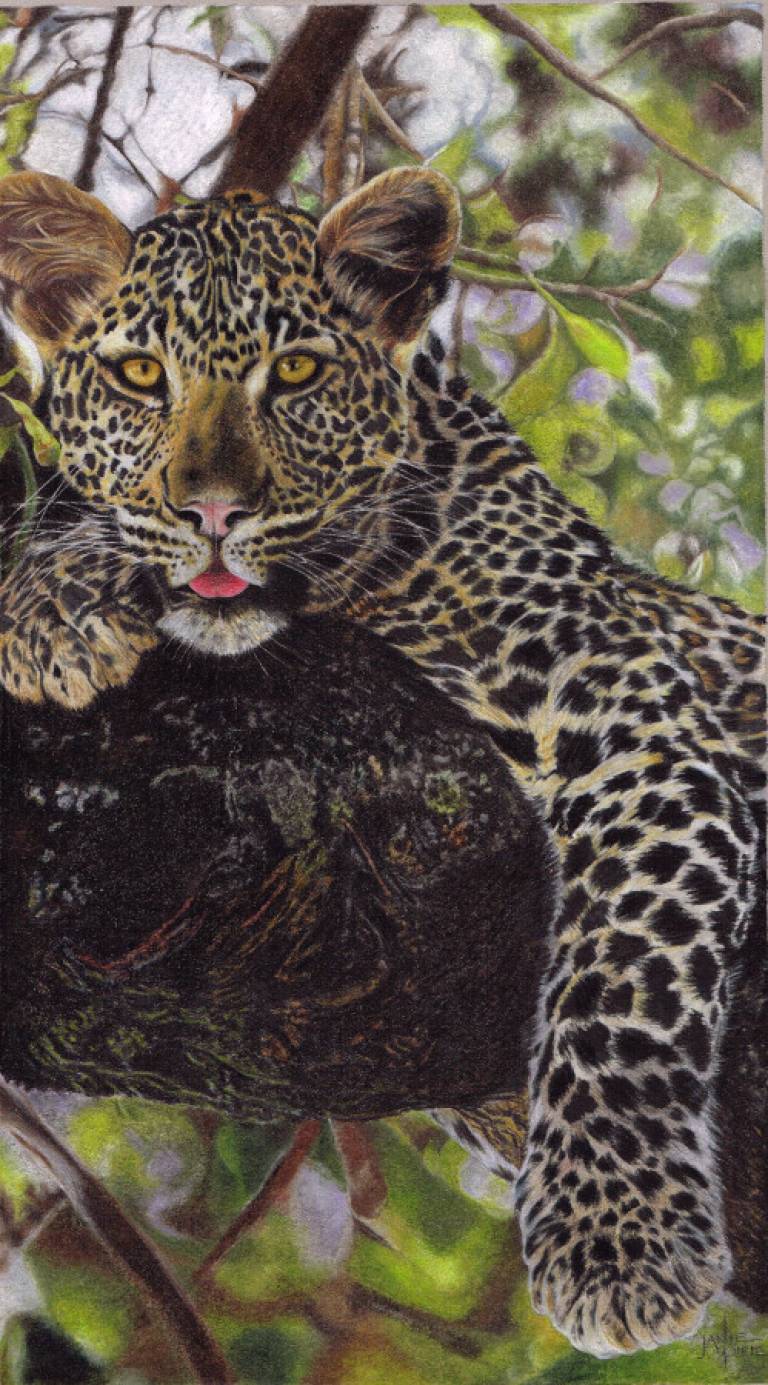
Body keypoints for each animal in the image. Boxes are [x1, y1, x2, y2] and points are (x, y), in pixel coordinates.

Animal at [0, 167, 764, 1359]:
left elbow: (623, 977)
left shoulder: (637, 725)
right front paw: (52, 602)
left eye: (297, 373)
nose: (212, 511)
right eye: (139, 376)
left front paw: (617, 1235)